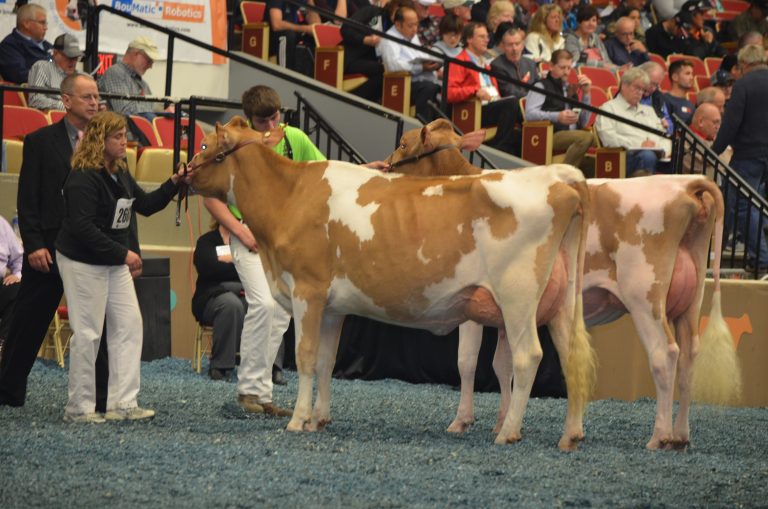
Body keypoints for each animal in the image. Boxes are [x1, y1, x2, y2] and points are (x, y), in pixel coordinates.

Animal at [189, 118, 596, 448]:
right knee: (571, 355)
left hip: (517, 297)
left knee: (530, 357)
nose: (182, 171)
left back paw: (508, 432)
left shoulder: (308, 290)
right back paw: (571, 435)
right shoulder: (332, 307)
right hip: (561, 301)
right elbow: (326, 360)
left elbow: (304, 357)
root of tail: (559, 181)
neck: (289, 197)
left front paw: (297, 420)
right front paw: (319, 418)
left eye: (205, 146)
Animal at [392, 118, 740, 448]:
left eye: (403, 143)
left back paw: (659, 437)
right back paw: (680, 435)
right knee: (689, 356)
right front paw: (504, 420)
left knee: (664, 354)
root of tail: (688, 183)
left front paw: (462, 421)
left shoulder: (472, 303)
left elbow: (467, 361)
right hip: (690, 301)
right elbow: (502, 363)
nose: (386, 165)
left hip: (644, 295)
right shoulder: (506, 310)